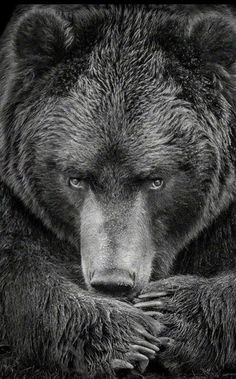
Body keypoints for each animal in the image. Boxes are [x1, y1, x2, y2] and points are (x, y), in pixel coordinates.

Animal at [0, 3, 236, 379]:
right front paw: (125, 336)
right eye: (76, 178)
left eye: (155, 179)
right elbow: (17, 260)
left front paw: (171, 312)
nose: (113, 281)